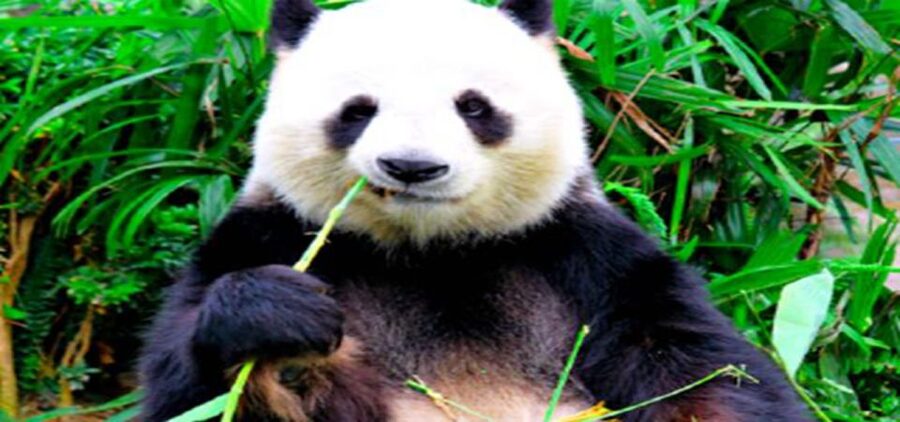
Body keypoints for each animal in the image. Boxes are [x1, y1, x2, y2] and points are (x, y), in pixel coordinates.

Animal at [139, 0, 810, 420]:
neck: (432, 252)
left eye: (473, 106)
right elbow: (189, 392)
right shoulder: (268, 233)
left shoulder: (587, 254)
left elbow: (704, 374)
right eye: (358, 110)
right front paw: (280, 331)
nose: (412, 167)